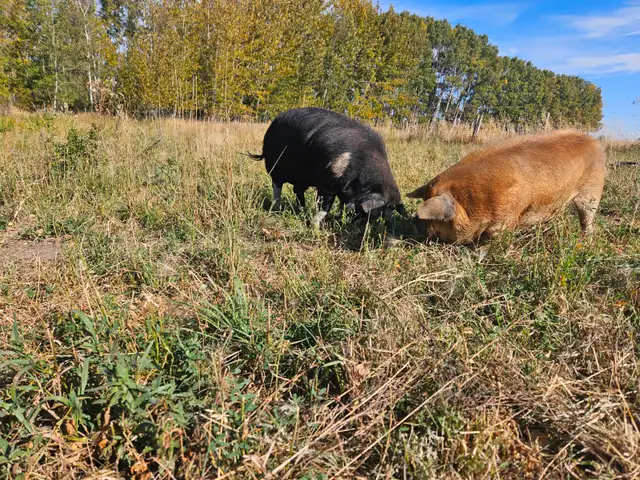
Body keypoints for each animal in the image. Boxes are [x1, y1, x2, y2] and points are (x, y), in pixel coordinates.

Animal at [249, 108, 404, 227]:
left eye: (383, 215)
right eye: (371, 213)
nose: (364, 229)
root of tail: (274, 122)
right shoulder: (328, 183)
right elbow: (325, 206)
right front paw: (315, 228)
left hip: (302, 178)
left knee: (298, 191)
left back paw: (302, 210)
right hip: (275, 166)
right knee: (277, 186)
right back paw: (277, 209)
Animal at [407, 130, 606, 244]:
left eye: (433, 219)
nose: (414, 221)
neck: (470, 202)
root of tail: (596, 143)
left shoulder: (506, 219)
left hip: (592, 192)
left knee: (587, 219)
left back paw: (586, 241)